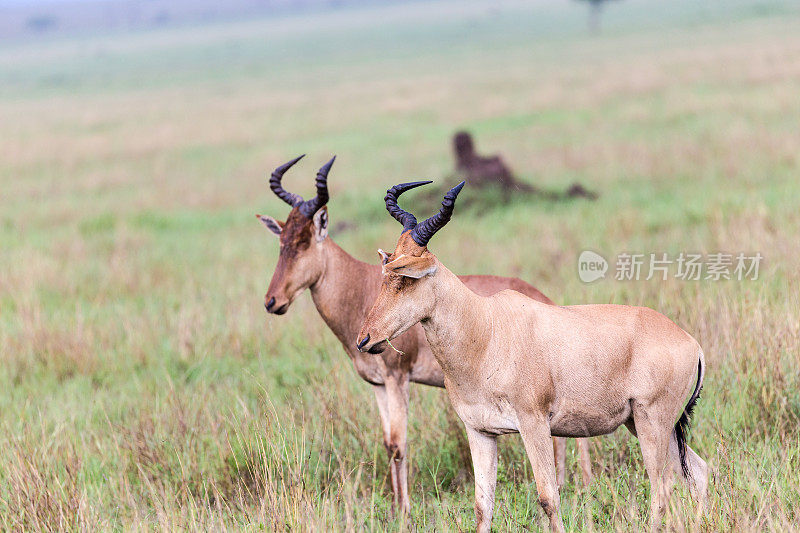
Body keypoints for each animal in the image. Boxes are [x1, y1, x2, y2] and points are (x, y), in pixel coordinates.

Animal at [256, 156, 592, 512]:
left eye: (304, 241)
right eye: (281, 241)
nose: (273, 301)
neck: (359, 286)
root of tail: (546, 299)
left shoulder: (398, 377)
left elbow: (398, 444)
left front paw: (404, 510)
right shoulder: (378, 384)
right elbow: (387, 442)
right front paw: (395, 506)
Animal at [360, 181, 708, 528]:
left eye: (405, 278)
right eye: (385, 275)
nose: (365, 339)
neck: (488, 329)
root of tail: (691, 343)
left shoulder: (535, 423)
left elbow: (548, 497)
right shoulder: (480, 431)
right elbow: (482, 506)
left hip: (653, 422)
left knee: (662, 488)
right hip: (645, 424)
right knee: (698, 472)